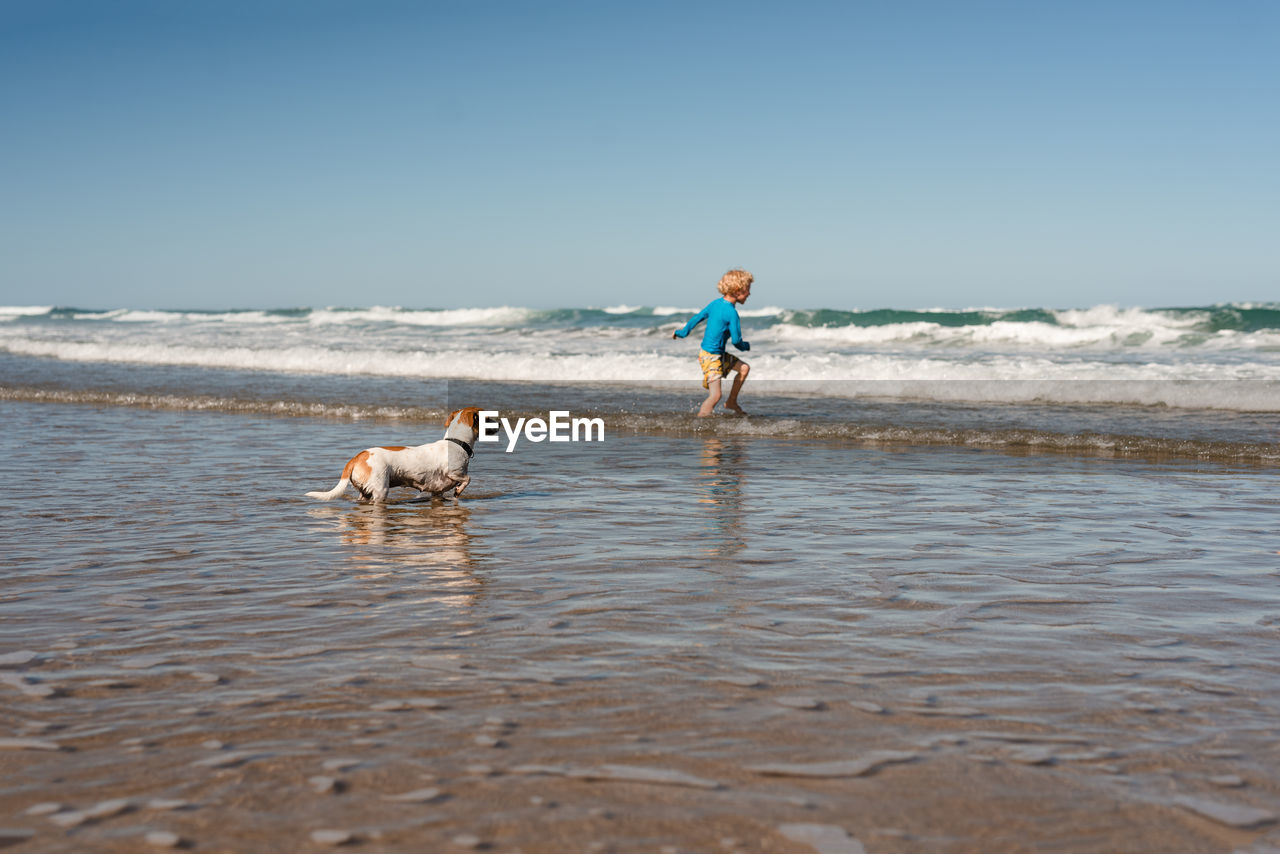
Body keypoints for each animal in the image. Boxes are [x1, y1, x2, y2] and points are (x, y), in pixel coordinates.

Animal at [307, 409, 481, 504]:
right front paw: (458, 491)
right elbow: (468, 479)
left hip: (365, 493)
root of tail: (358, 456)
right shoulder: (455, 473)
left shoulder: (437, 492)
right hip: (380, 490)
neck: (456, 442)